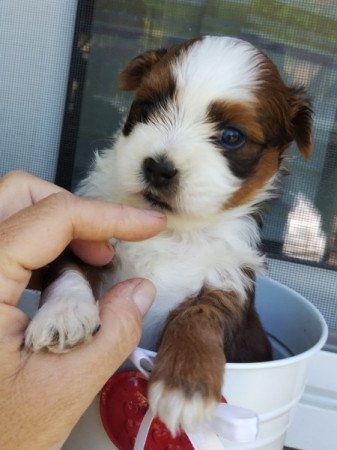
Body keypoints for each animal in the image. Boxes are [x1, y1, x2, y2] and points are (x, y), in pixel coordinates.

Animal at [25, 36, 312, 436]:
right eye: (149, 106)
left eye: (232, 136)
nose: (158, 168)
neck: (173, 229)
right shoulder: (88, 233)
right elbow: (71, 271)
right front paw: (63, 315)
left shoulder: (228, 279)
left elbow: (199, 315)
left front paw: (185, 386)